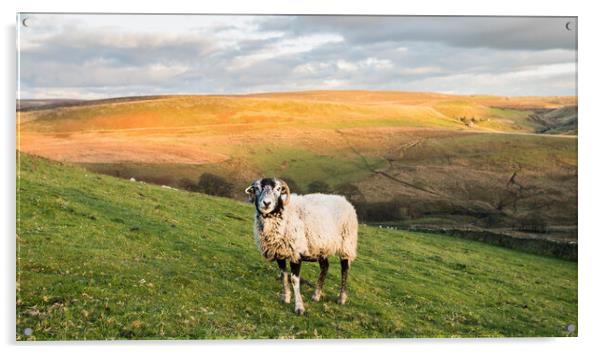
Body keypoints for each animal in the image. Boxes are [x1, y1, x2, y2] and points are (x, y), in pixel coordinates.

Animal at [244, 177, 356, 316]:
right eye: (257, 188)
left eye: (278, 189)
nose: (266, 203)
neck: (283, 213)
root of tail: (344, 200)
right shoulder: (279, 253)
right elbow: (284, 276)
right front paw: (286, 298)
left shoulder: (295, 253)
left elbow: (294, 280)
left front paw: (299, 307)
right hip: (321, 247)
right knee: (325, 267)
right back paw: (316, 295)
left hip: (347, 244)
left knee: (344, 269)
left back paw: (341, 298)